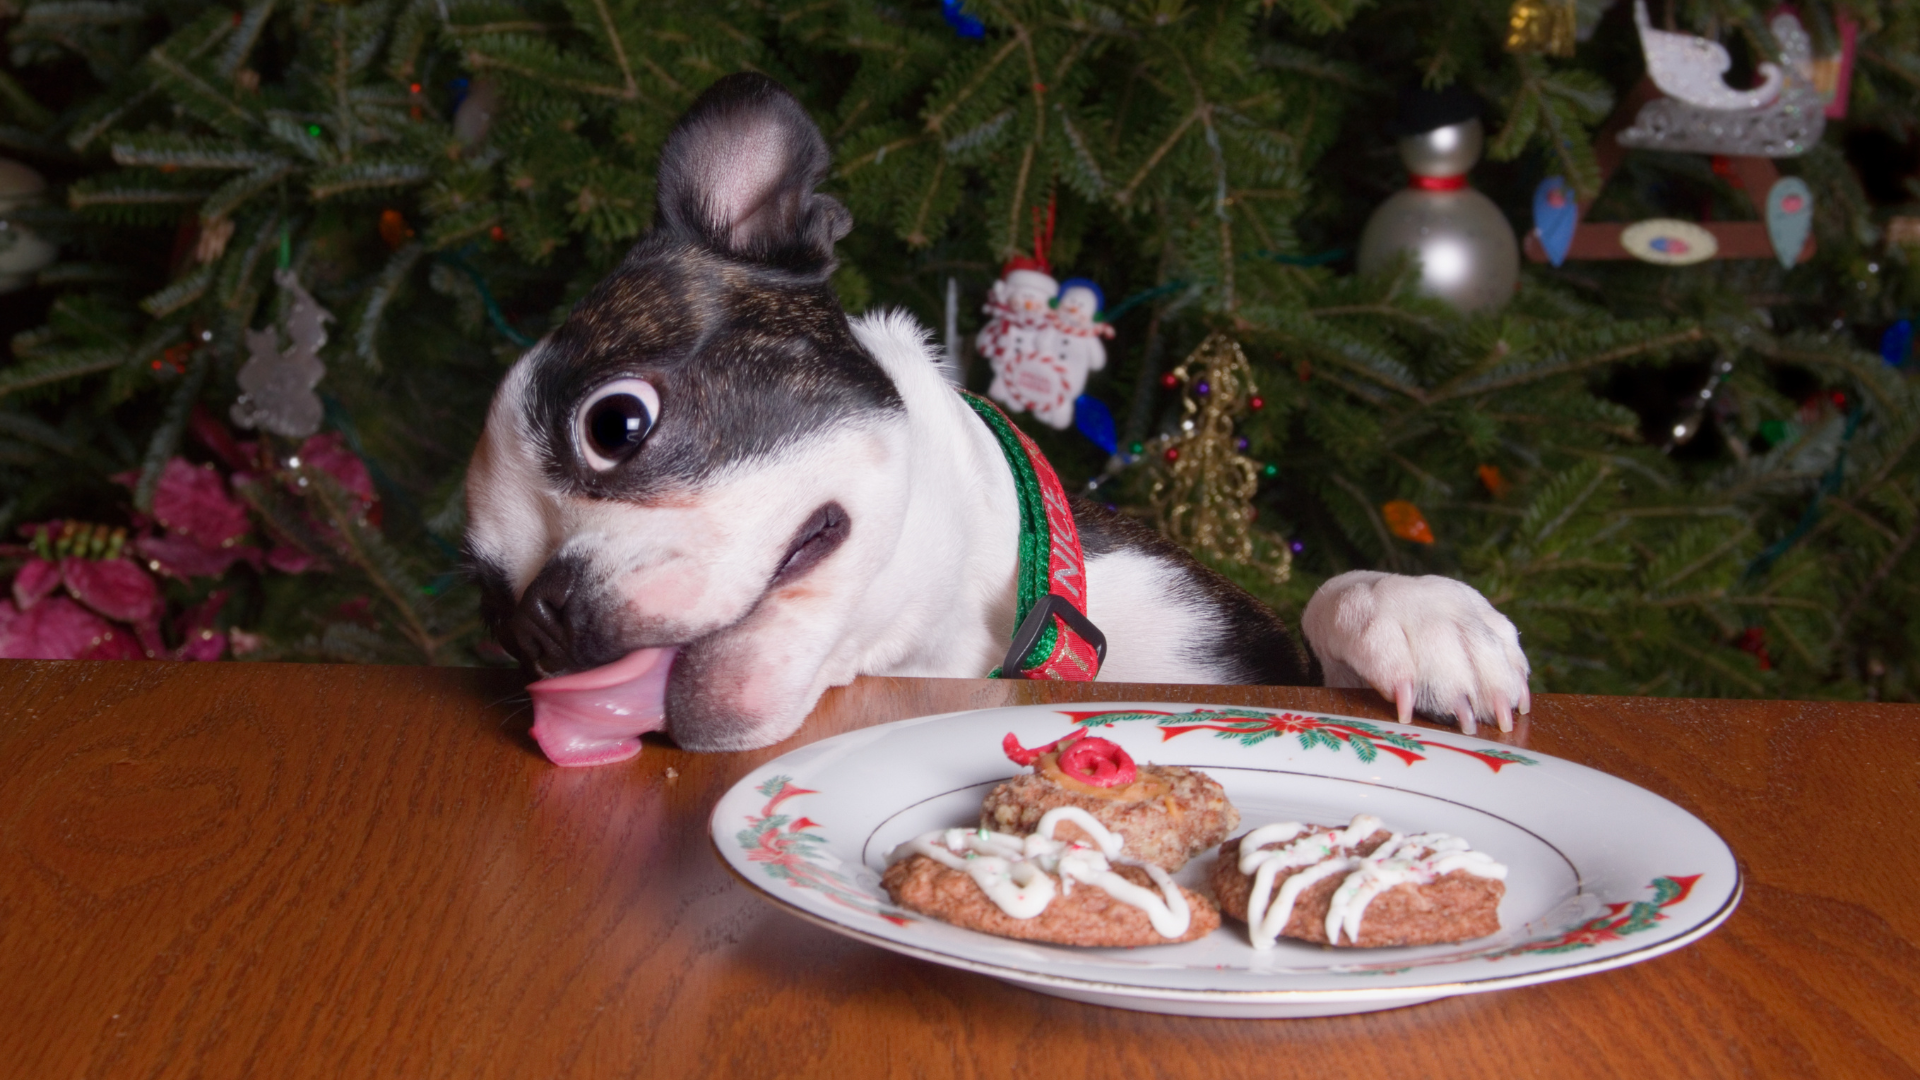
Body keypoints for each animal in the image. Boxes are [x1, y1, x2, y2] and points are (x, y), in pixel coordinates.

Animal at [464, 73, 1528, 764]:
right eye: (494, 616)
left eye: (615, 424)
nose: (545, 619)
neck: (948, 646)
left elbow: (1320, 604)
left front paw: (1413, 612)